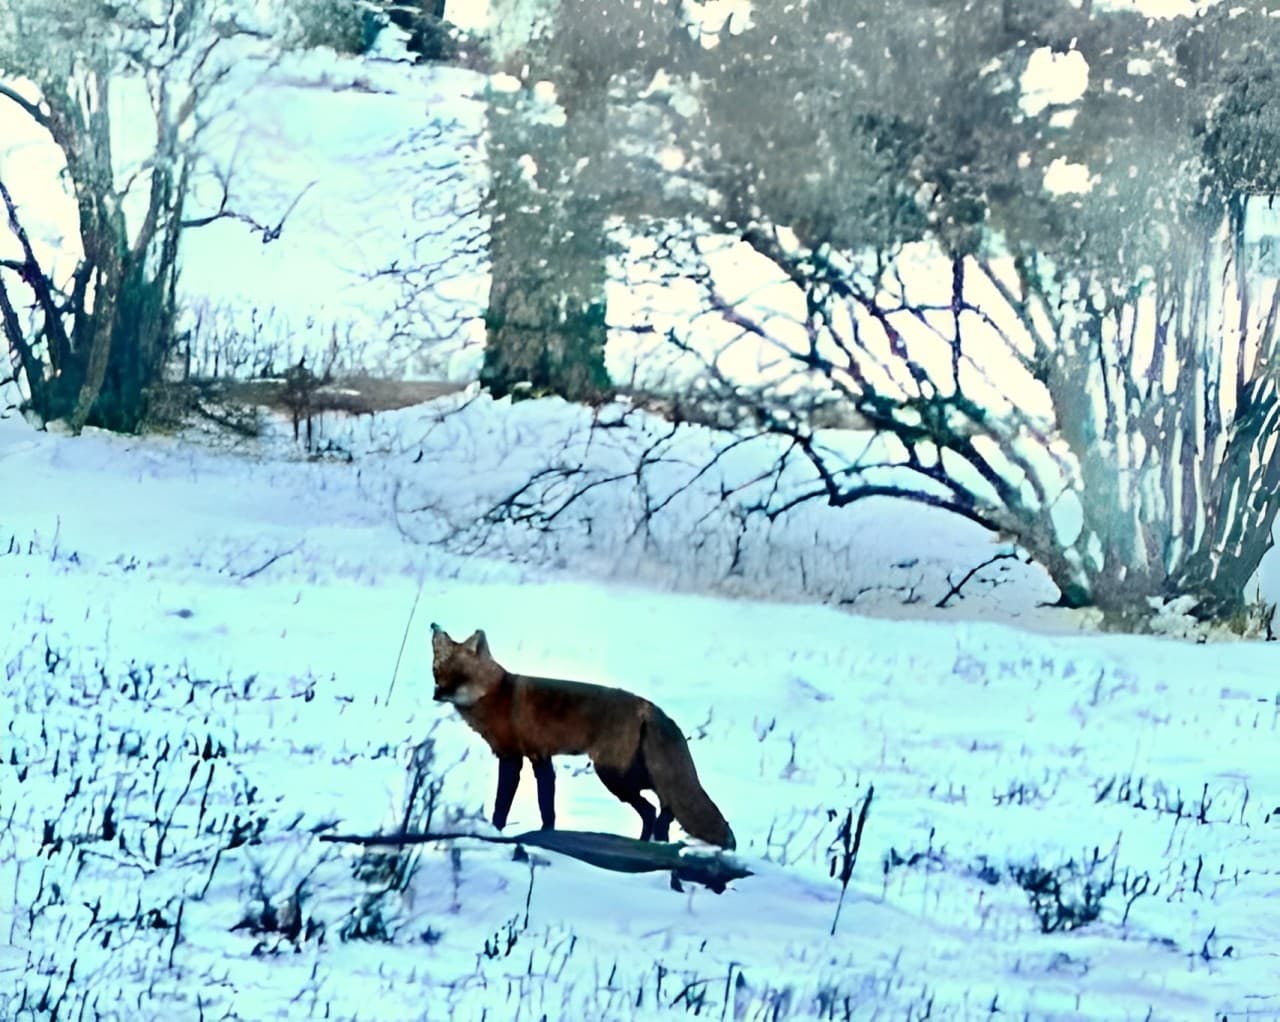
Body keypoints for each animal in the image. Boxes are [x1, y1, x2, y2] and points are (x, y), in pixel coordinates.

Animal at [430, 627, 737, 850]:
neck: (497, 695)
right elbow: (547, 807)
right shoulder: (540, 758)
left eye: (460, 675)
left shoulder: (513, 759)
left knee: (657, 805)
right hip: (628, 773)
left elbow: (502, 806)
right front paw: (546, 834)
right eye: (437, 672)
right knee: (660, 804)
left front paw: (496, 832)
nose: (436, 694)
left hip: (613, 775)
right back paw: (652, 839)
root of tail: (648, 705)